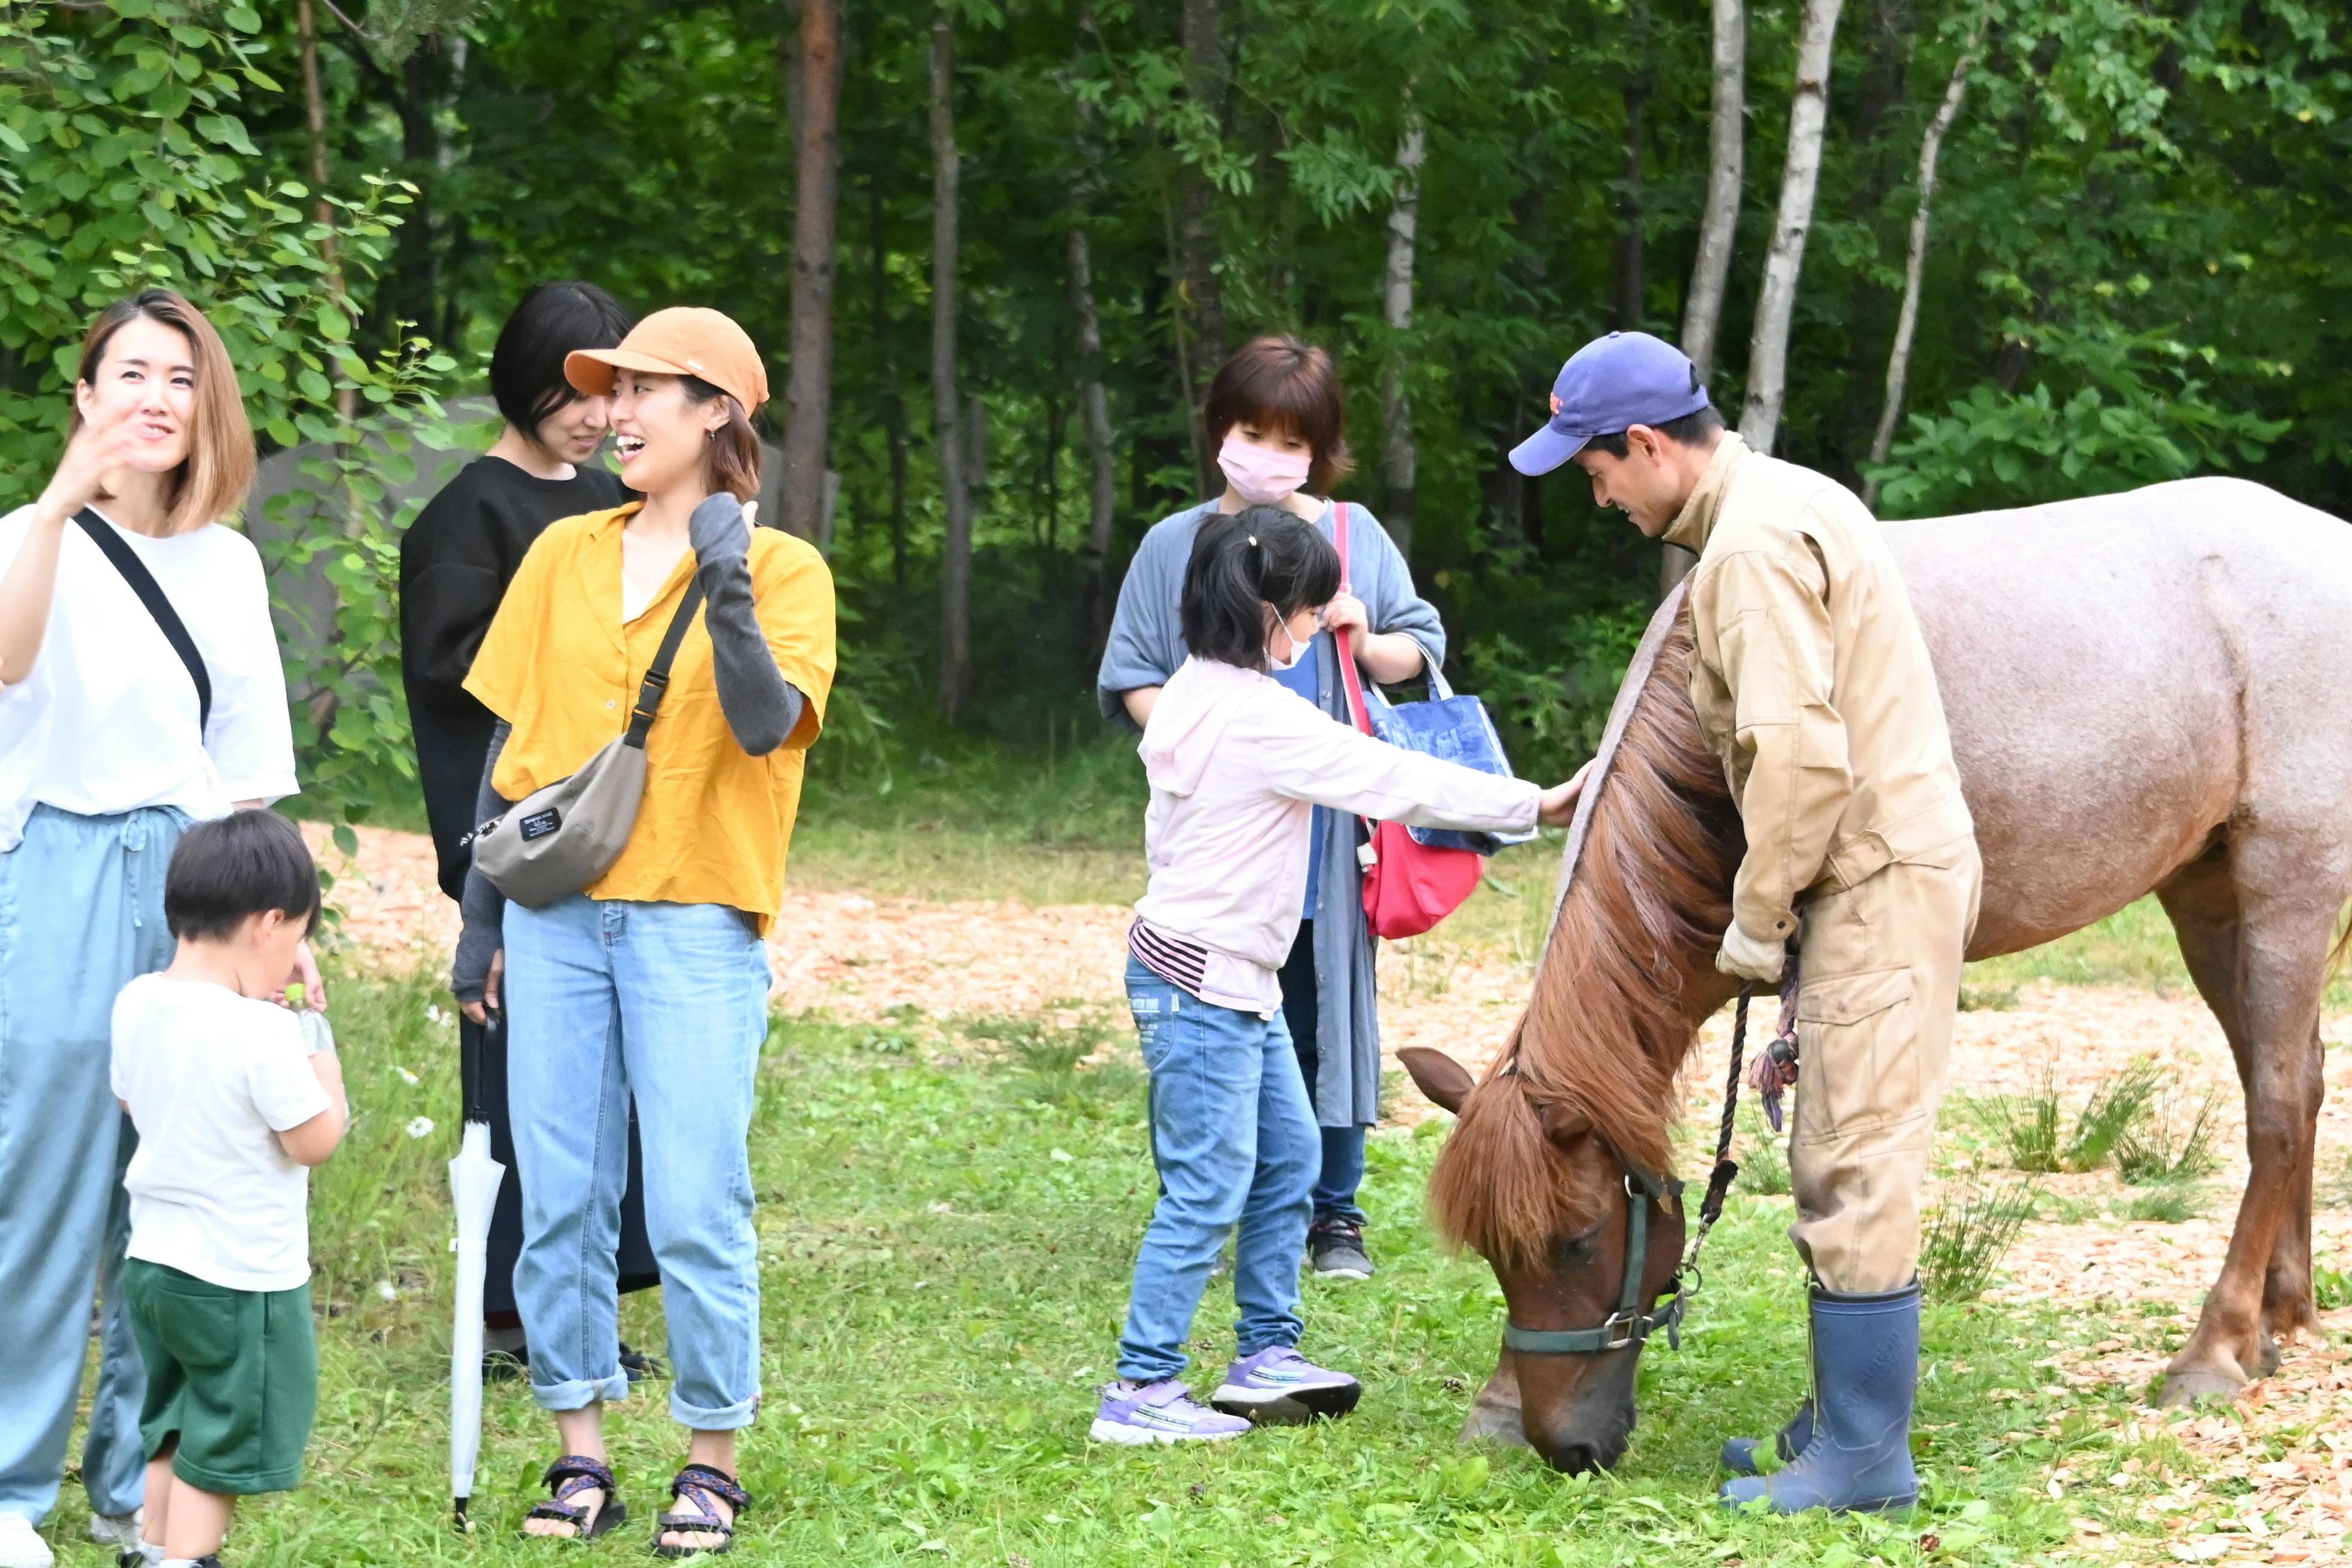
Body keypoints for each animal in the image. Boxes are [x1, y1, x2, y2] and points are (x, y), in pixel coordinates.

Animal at [1399, 475, 2350, 1475]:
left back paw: (2218, 1346)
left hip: (2285, 880)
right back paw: (2282, 1312)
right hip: (2206, 892)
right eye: (1496, 1253)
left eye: (1580, 1242)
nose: (1567, 1445)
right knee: (2296, 1081)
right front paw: (1498, 1407)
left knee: (2278, 1102)